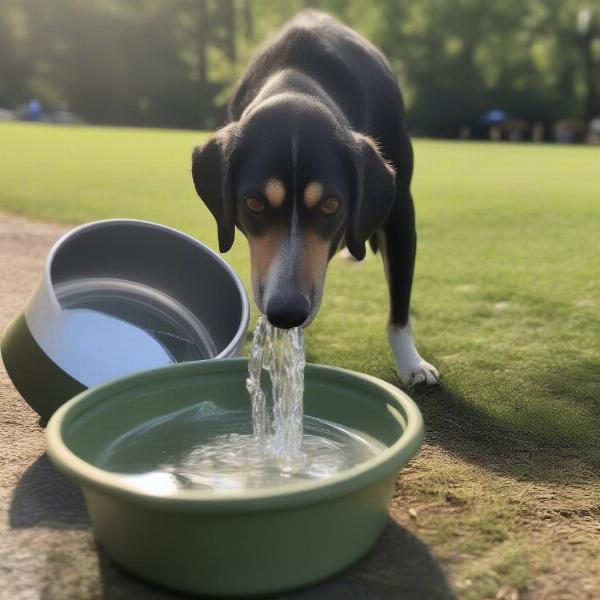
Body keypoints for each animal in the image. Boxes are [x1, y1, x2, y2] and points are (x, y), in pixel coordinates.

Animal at [192, 10, 440, 384]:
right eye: (254, 203)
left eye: (330, 205)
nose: (287, 312)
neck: (298, 78)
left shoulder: (400, 213)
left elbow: (399, 299)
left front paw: (411, 363)